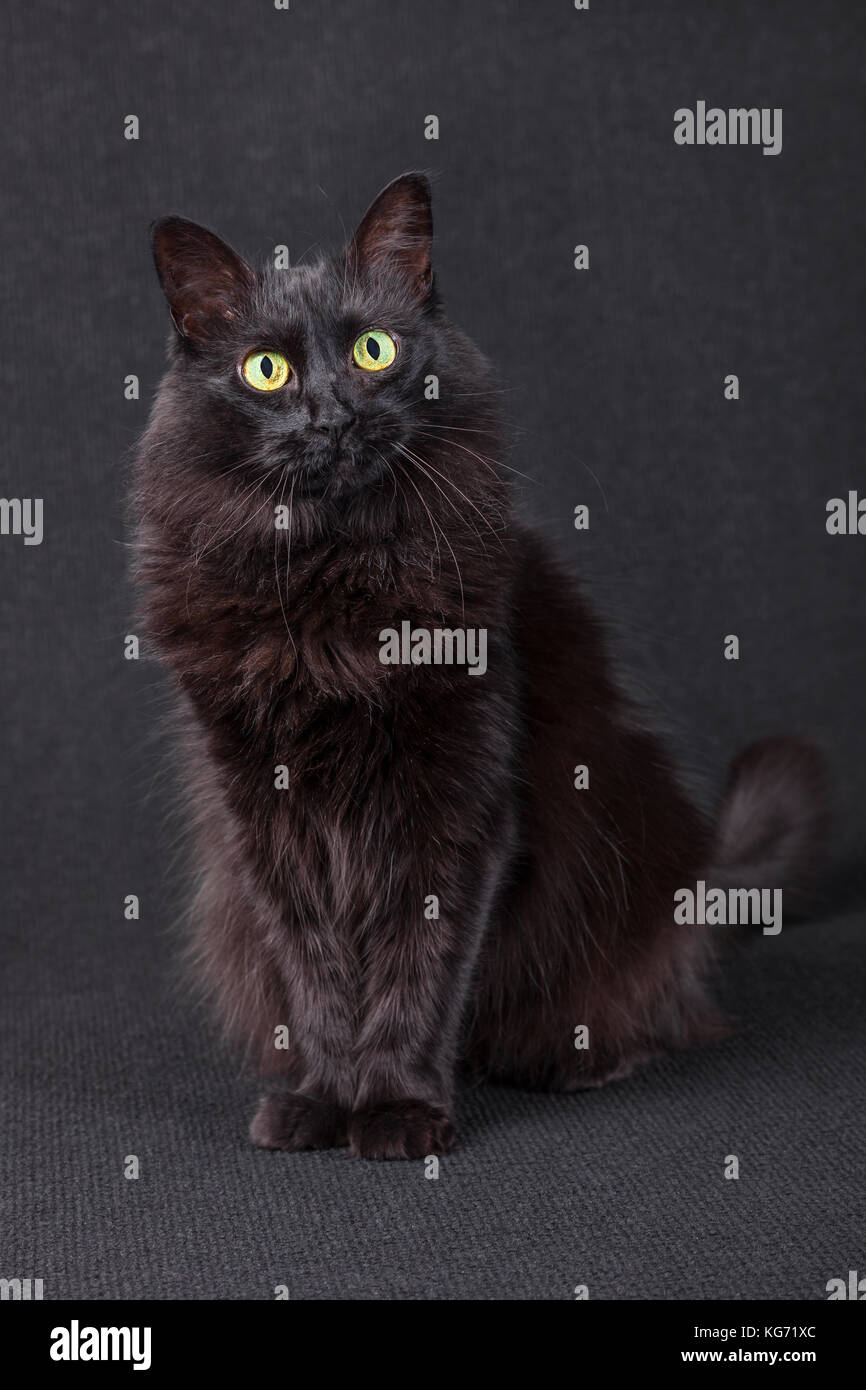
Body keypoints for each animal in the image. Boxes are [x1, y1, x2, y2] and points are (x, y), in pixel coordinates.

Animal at [130, 173, 828, 1156]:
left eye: (374, 351)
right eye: (266, 370)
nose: (333, 415)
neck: (337, 589)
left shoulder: (459, 799)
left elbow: (418, 972)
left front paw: (395, 1109)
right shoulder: (263, 817)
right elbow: (314, 973)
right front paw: (321, 1099)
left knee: (644, 1007)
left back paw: (566, 1062)